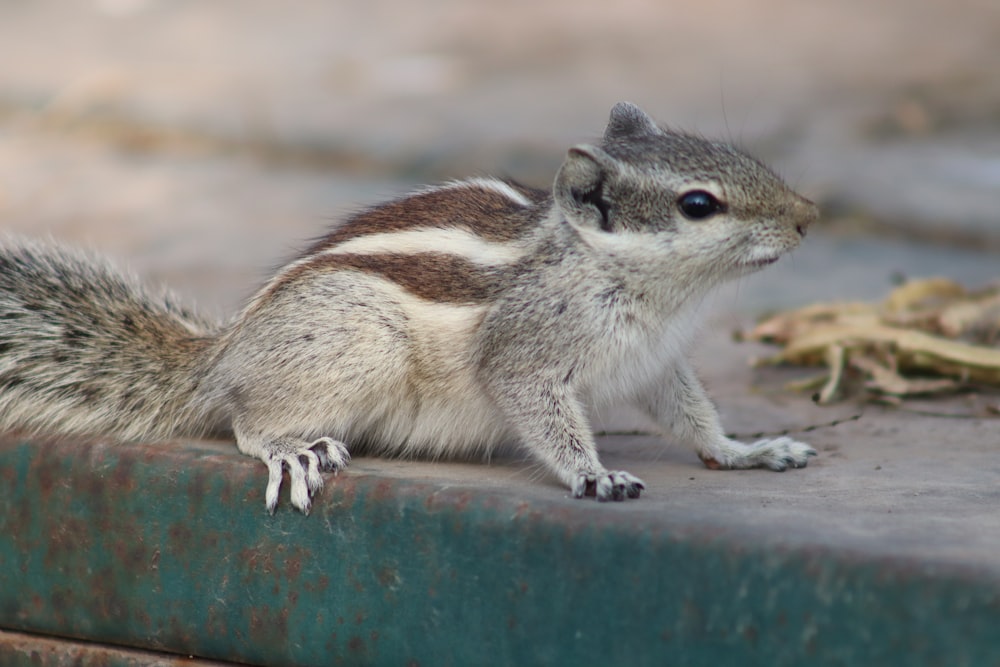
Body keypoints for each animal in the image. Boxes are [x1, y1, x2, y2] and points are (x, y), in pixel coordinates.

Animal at [0, 102, 820, 516]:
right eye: (698, 205)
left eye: (731, 153)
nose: (810, 217)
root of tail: (220, 356)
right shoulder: (526, 351)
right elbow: (543, 414)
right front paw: (593, 474)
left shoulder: (657, 363)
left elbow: (694, 416)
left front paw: (746, 451)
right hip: (356, 343)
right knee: (245, 422)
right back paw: (289, 446)